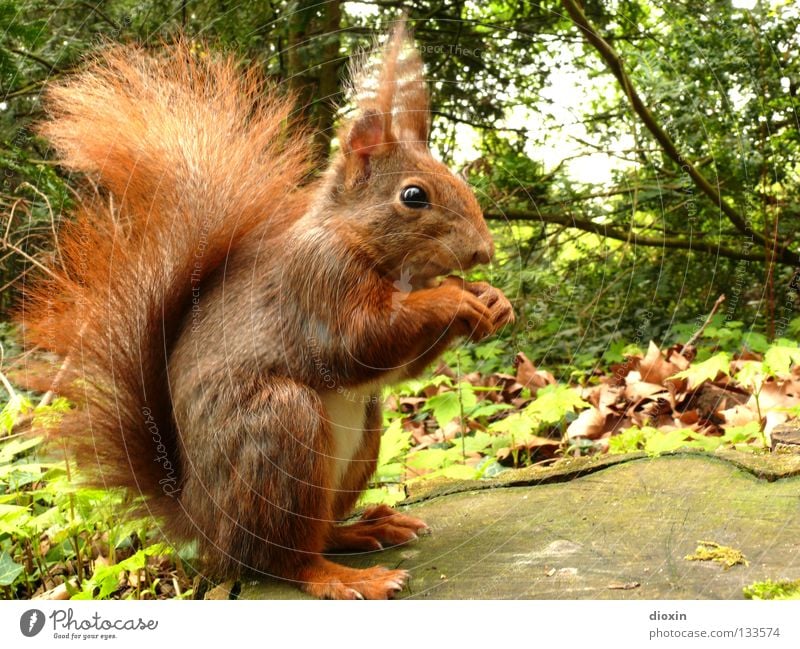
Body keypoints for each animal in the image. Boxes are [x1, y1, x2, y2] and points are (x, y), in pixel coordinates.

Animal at [21, 27, 516, 600]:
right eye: (413, 195)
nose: (484, 251)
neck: (372, 254)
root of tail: (200, 525)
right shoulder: (316, 282)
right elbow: (358, 343)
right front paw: (453, 298)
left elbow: (398, 367)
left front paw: (493, 299)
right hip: (280, 428)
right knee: (282, 558)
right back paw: (348, 579)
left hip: (358, 437)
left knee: (313, 534)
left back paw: (366, 530)